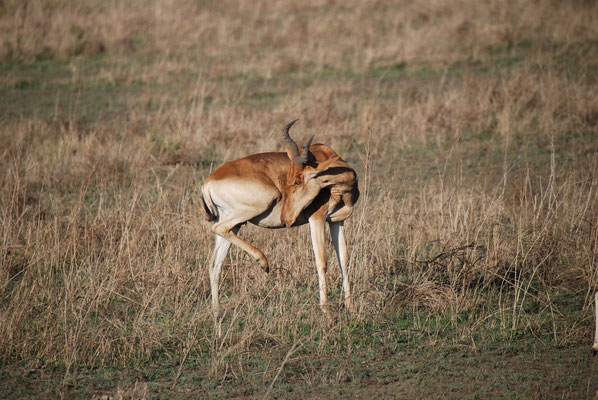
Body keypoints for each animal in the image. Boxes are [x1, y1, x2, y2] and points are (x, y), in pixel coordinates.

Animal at [202, 119, 360, 318]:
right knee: (219, 230)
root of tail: (208, 182)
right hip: (258, 204)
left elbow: (344, 260)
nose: (286, 219)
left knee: (215, 264)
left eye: (298, 180)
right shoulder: (316, 219)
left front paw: (351, 308)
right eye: (289, 179)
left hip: (232, 222)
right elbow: (322, 261)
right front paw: (326, 311)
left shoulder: (337, 222)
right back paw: (263, 262)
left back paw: (216, 311)